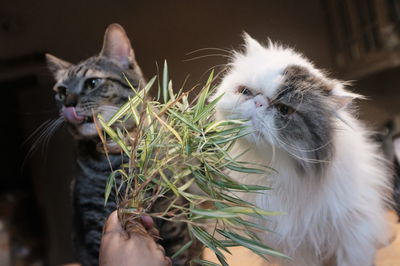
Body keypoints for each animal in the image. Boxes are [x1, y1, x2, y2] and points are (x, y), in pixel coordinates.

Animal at [46, 23, 199, 266]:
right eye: (61, 92)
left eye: (92, 83)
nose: (68, 104)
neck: (118, 151)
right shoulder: (94, 217)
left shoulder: (173, 217)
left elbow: (180, 254)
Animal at [212, 34, 390, 264]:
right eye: (245, 92)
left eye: (284, 110)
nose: (258, 103)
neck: (274, 172)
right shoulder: (293, 248)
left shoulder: (353, 231)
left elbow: (352, 258)